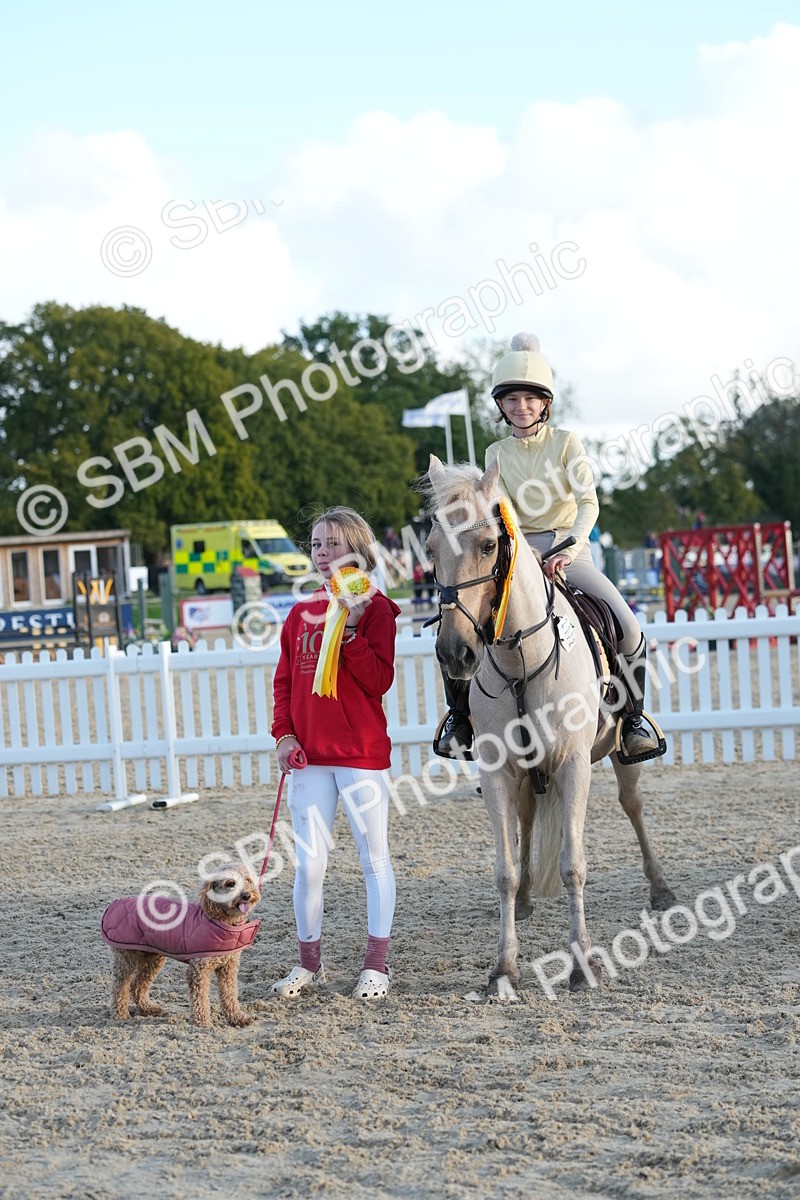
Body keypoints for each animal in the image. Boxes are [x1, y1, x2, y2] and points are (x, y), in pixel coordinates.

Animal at [421, 455, 677, 1001]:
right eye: (430, 549)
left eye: (488, 545)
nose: (455, 654)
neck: (522, 659)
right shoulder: (498, 772)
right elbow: (504, 870)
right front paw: (503, 970)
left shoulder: (574, 767)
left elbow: (572, 865)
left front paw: (582, 966)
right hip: (523, 778)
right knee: (527, 822)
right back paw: (523, 906)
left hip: (619, 757)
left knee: (633, 806)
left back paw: (661, 888)